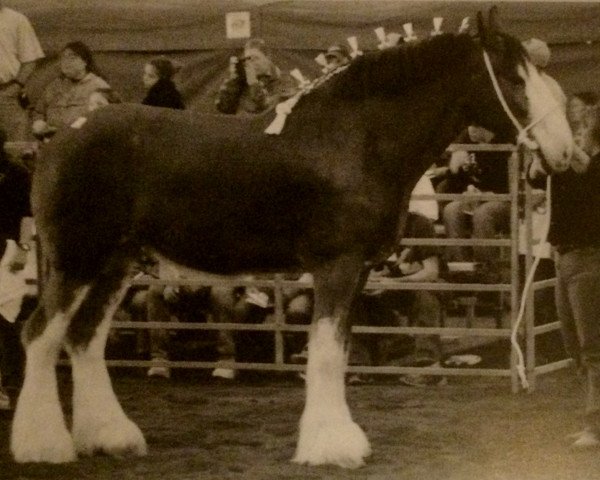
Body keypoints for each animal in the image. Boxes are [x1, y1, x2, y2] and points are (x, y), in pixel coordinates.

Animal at [9, 9, 572, 470]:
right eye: (514, 78)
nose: (565, 151)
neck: (355, 138)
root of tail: (58, 140)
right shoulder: (336, 264)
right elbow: (323, 352)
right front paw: (332, 447)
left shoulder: (359, 269)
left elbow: (339, 351)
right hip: (76, 260)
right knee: (40, 336)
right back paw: (43, 445)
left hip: (116, 263)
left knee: (84, 338)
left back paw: (110, 437)